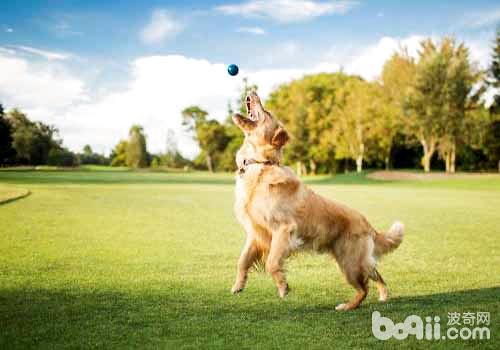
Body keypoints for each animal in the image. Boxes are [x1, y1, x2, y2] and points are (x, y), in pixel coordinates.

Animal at [232, 91, 404, 310]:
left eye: (267, 112)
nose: (253, 92)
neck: (262, 164)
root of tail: (368, 224)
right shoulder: (256, 233)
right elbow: (242, 260)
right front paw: (238, 285)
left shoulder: (284, 230)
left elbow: (271, 262)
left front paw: (283, 287)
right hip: (354, 261)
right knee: (375, 273)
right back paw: (382, 295)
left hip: (349, 263)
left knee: (364, 288)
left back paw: (347, 306)